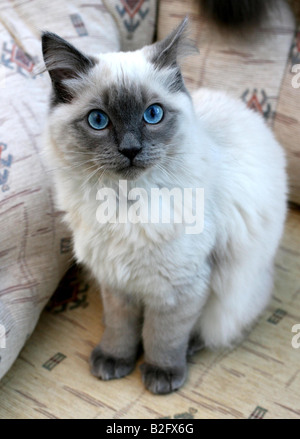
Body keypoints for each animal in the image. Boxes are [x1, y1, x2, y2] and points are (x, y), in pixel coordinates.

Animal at [41, 18, 288, 396]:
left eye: (152, 115)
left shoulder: (179, 287)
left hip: (233, 291)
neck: (124, 204)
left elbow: (162, 335)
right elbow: (121, 328)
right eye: (98, 121)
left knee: (213, 326)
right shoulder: (116, 281)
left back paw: (190, 349)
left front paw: (161, 374)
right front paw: (115, 360)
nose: (130, 149)